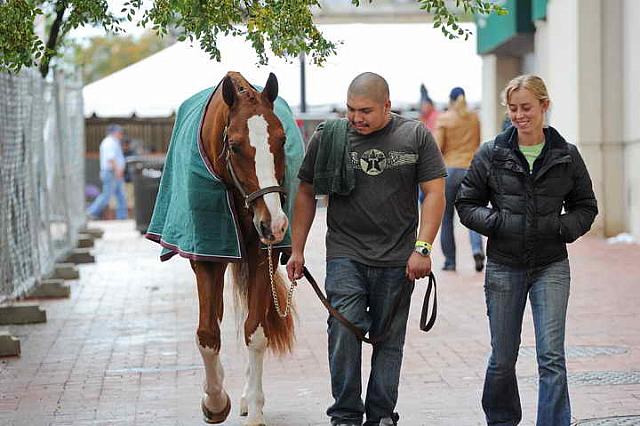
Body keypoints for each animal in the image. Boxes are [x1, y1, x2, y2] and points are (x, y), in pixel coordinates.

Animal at [148, 71, 300, 424]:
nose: (274, 223)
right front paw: (215, 401)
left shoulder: (261, 254)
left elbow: (255, 331)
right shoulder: (207, 255)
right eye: (234, 145)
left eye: (281, 140)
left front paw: (254, 406)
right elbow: (207, 334)